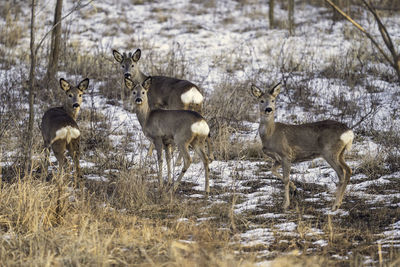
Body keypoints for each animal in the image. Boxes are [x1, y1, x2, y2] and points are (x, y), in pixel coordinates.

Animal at [252, 82, 354, 211]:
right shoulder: (278, 159)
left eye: (273, 100)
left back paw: (334, 205)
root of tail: (348, 132)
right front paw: (295, 189)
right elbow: (273, 171)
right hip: (340, 153)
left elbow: (285, 179)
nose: (268, 109)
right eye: (261, 100)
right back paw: (339, 203)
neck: (270, 134)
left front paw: (285, 204)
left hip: (330, 152)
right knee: (349, 170)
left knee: (341, 173)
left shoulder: (286, 154)